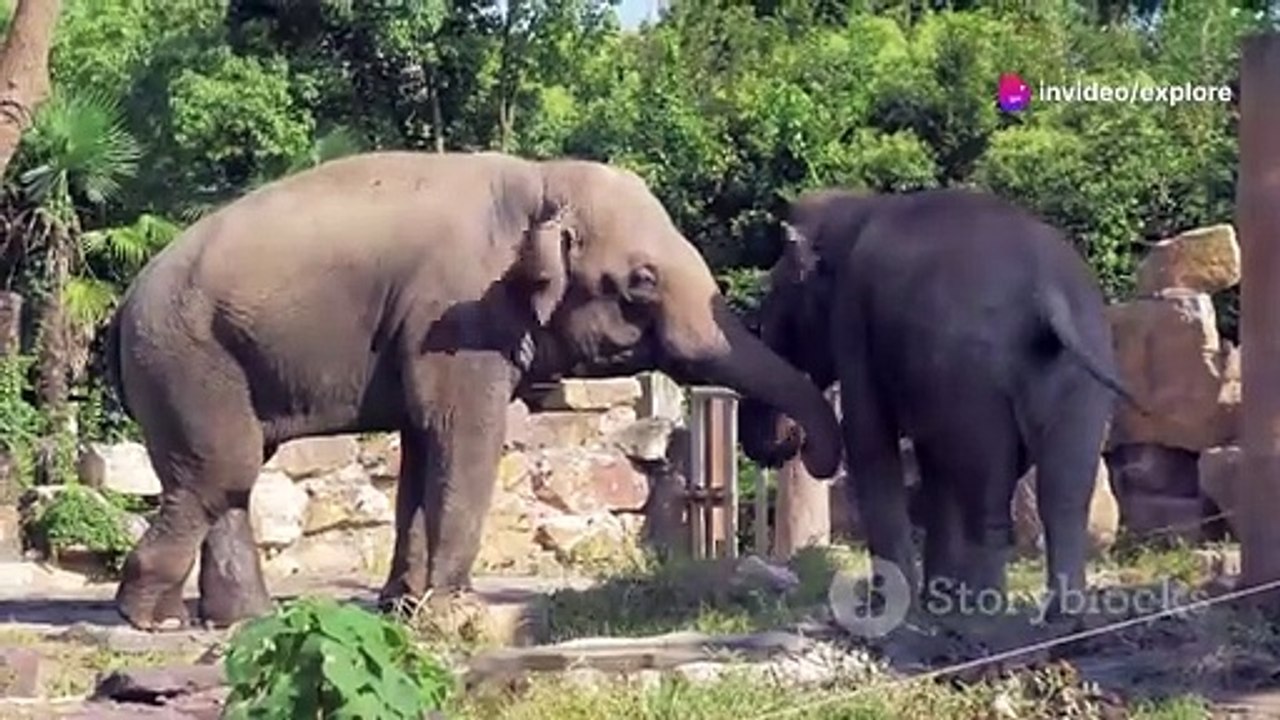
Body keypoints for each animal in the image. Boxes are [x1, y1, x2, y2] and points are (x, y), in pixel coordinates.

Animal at [105, 151, 843, 631]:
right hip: (186, 355)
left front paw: (406, 609)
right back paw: (152, 621)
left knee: (227, 481)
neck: (540, 180)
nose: (792, 444)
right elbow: (466, 435)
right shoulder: (457, 318)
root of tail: (123, 307)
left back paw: (236, 621)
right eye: (641, 282)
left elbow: (423, 449)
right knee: (221, 474)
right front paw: (452, 610)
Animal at [739, 187, 1136, 617]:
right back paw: (1061, 618)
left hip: (973, 376)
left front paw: (893, 607)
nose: (788, 440)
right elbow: (934, 464)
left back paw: (983, 613)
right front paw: (933, 600)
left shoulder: (853, 316)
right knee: (1064, 493)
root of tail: (1047, 293)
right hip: (1078, 373)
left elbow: (868, 436)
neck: (855, 206)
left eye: (775, 291)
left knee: (989, 494)